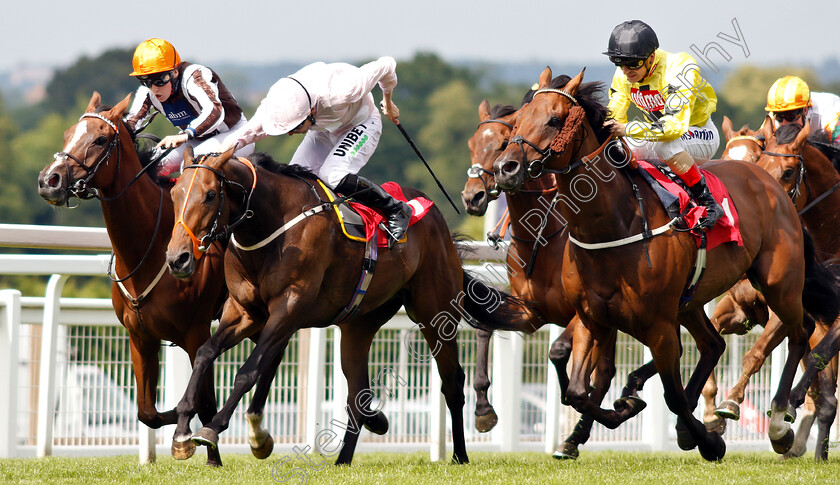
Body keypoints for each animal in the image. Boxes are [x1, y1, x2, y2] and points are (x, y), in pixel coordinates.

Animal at [35, 91, 226, 466]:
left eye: (100, 139)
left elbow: (204, 399)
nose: (49, 180)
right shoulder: (140, 336)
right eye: (67, 134)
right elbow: (146, 412)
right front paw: (180, 428)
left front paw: (201, 448)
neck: (150, 246)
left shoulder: (196, 332)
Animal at [161, 147, 540, 466]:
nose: (177, 259)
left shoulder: (288, 309)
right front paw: (181, 432)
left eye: (210, 195)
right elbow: (206, 352)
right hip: (359, 325)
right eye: (175, 195)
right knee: (358, 393)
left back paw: (460, 453)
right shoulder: (244, 313)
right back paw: (346, 455)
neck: (271, 226)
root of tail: (437, 221)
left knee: (452, 382)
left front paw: (214, 429)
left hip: (434, 312)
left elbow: (249, 371)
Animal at [462, 98, 652, 458]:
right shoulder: (532, 311)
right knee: (608, 372)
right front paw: (482, 410)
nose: (472, 197)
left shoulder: (580, 313)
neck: (543, 235)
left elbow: (559, 353)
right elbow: (483, 328)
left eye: (502, 144)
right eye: (471, 145)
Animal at [488, 67, 836, 458]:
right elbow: (577, 390)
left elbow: (672, 396)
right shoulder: (592, 319)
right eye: (517, 120)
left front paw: (708, 440)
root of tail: (771, 187)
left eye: (554, 119)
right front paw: (620, 411)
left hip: (778, 283)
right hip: (694, 300)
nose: (505, 168)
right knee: (715, 344)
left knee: (800, 331)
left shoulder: (658, 326)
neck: (610, 225)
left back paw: (778, 422)